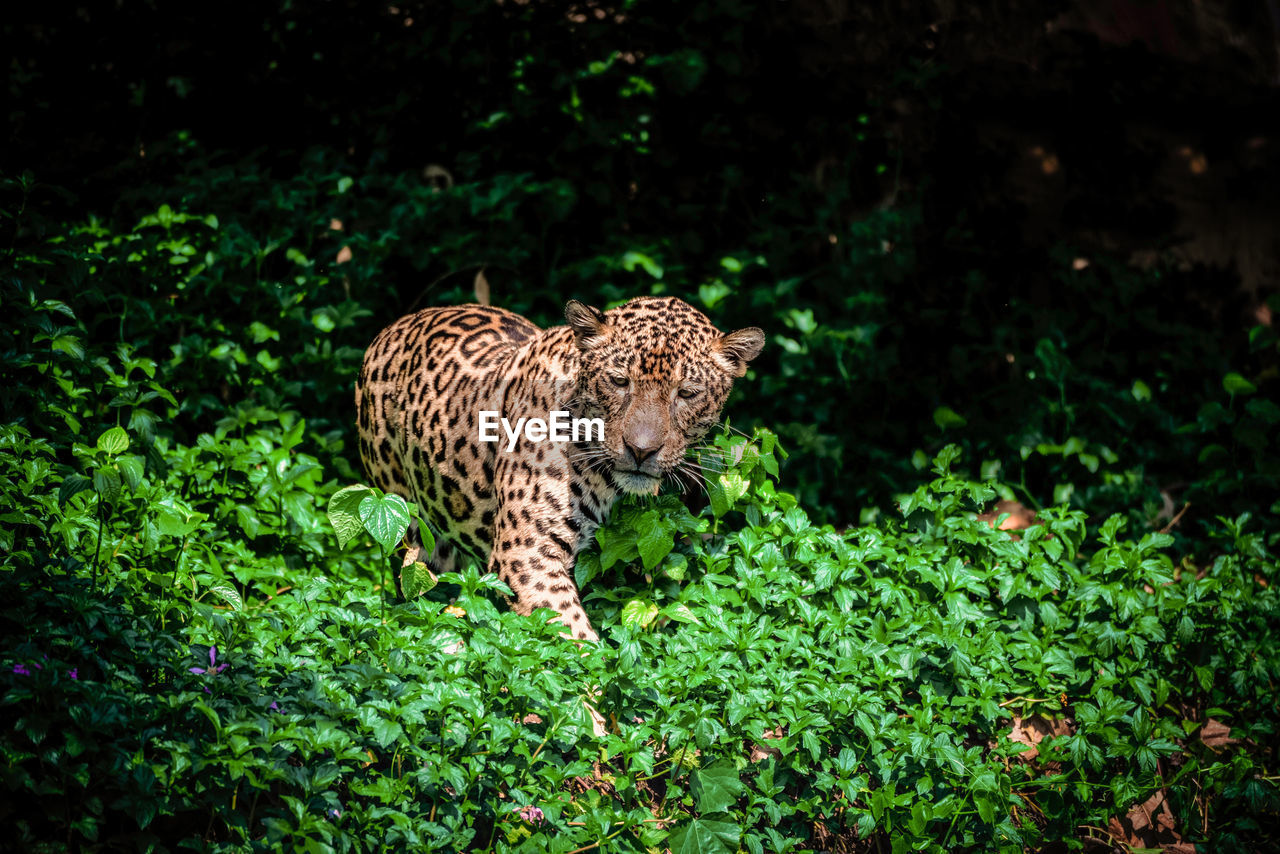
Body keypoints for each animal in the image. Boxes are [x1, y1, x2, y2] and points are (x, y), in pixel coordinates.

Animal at [353, 295, 757, 640]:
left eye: (687, 393)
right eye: (619, 381)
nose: (641, 451)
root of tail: (396, 325)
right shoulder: (527, 552)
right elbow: (572, 641)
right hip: (408, 523)